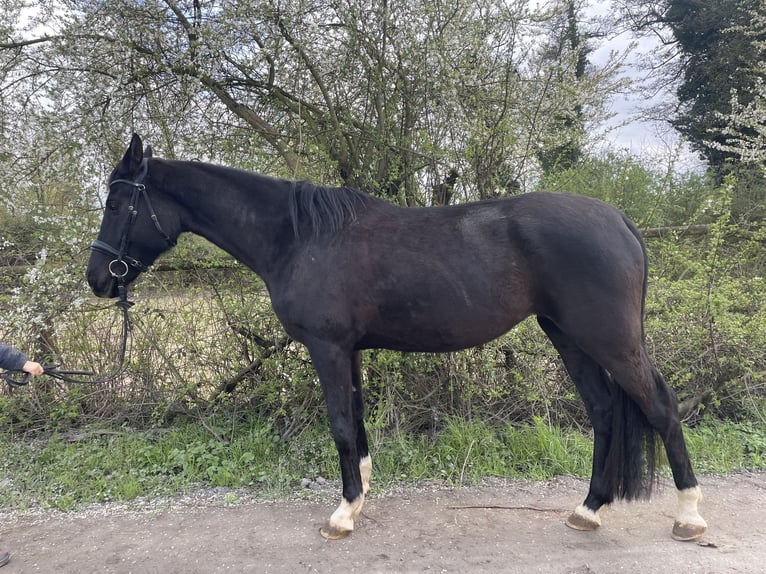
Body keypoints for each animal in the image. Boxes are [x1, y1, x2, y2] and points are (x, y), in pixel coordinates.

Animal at [86, 134, 707, 542]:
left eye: (117, 202)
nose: (97, 279)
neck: (300, 238)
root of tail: (619, 221)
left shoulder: (328, 348)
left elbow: (339, 425)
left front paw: (342, 514)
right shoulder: (349, 352)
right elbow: (356, 424)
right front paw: (359, 497)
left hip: (609, 338)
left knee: (661, 407)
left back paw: (689, 516)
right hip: (569, 337)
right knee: (603, 411)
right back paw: (588, 510)